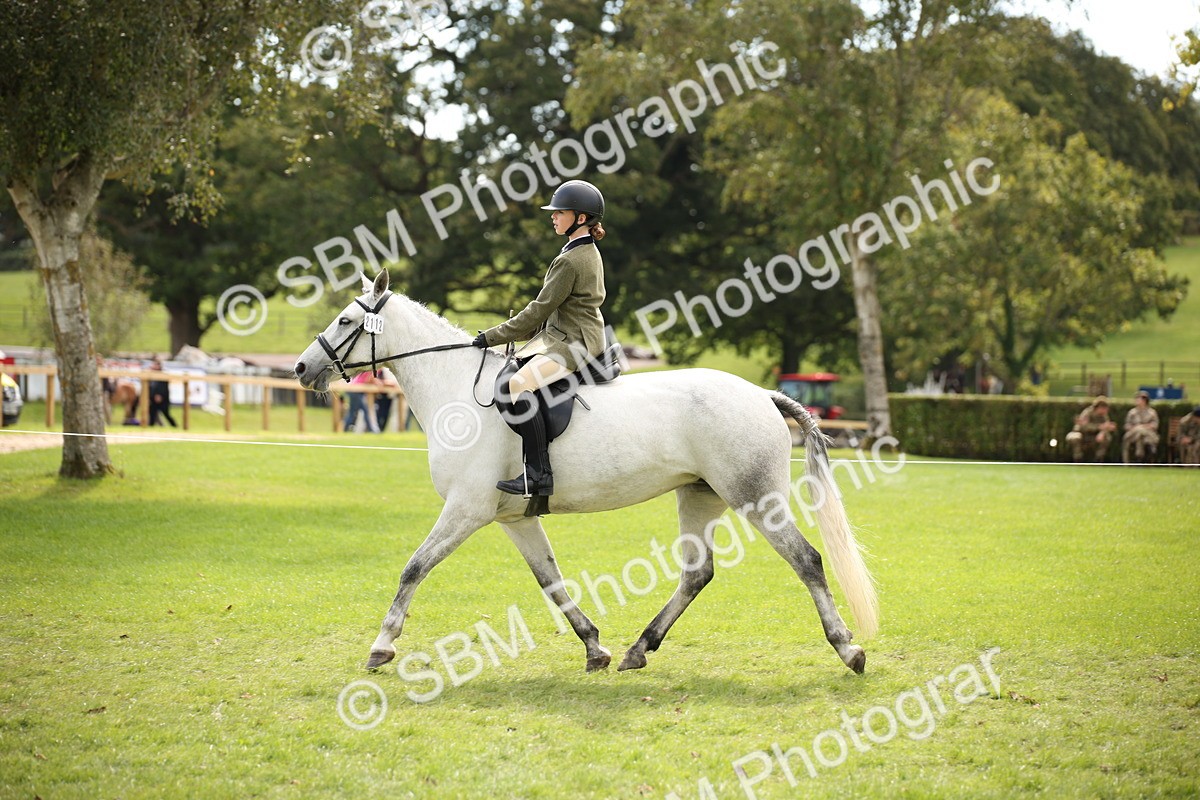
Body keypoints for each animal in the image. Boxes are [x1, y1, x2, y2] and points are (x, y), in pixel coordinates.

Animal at [294, 270, 878, 675]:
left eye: (345, 321)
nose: (302, 368)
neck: (458, 391)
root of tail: (762, 393)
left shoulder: (466, 509)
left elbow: (414, 568)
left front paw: (381, 647)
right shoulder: (514, 518)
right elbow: (550, 580)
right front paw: (594, 646)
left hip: (755, 497)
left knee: (806, 560)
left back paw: (848, 648)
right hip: (700, 495)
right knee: (697, 573)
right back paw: (638, 649)